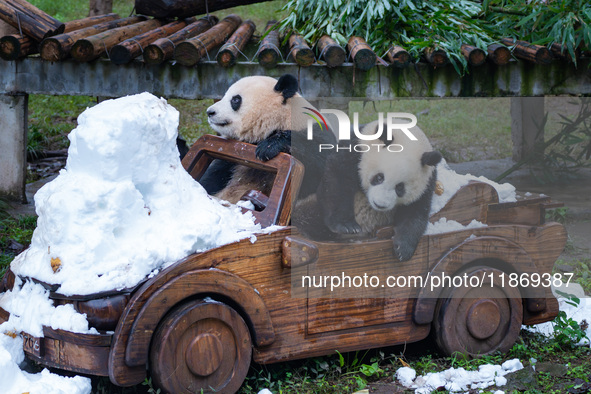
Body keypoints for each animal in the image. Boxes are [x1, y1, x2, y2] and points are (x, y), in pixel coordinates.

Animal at [201, 73, 336, 203]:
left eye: (235, 99)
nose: (209, 112)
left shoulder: (316, 135)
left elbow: (316, 165)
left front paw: (267, 148)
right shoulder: (235, 153)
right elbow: (215, 174)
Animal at [294, 120, 440, 262]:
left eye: (400, 187)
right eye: (379, 177)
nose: (380, 204)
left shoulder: (428, 181)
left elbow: (416, 211)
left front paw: (403, 248)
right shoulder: (355, 150)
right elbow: (338, 180)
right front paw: (346, 226)